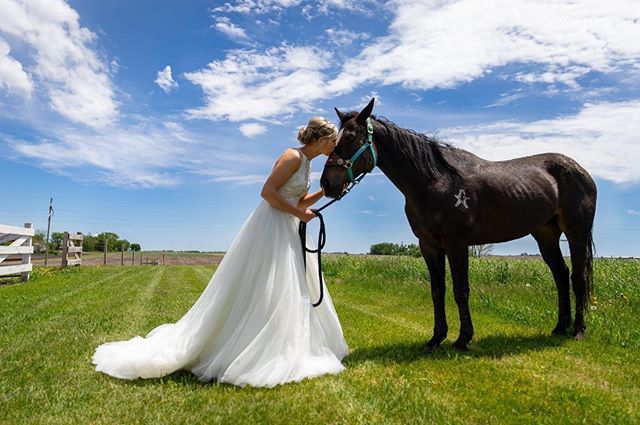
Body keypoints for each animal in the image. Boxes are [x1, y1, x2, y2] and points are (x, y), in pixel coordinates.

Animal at [322, 97, 596, 350]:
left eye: (350, 138)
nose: (326, 183)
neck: (434, 182)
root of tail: (582, 171)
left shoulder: (457, 244)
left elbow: (460, 289)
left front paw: (463, 339)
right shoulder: (429, 246)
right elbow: (437, 291)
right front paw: (436, 338)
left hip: (577, 233)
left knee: (577, 276)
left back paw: (578, 330)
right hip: (545, 235)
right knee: (561, 275)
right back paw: (560, 327)